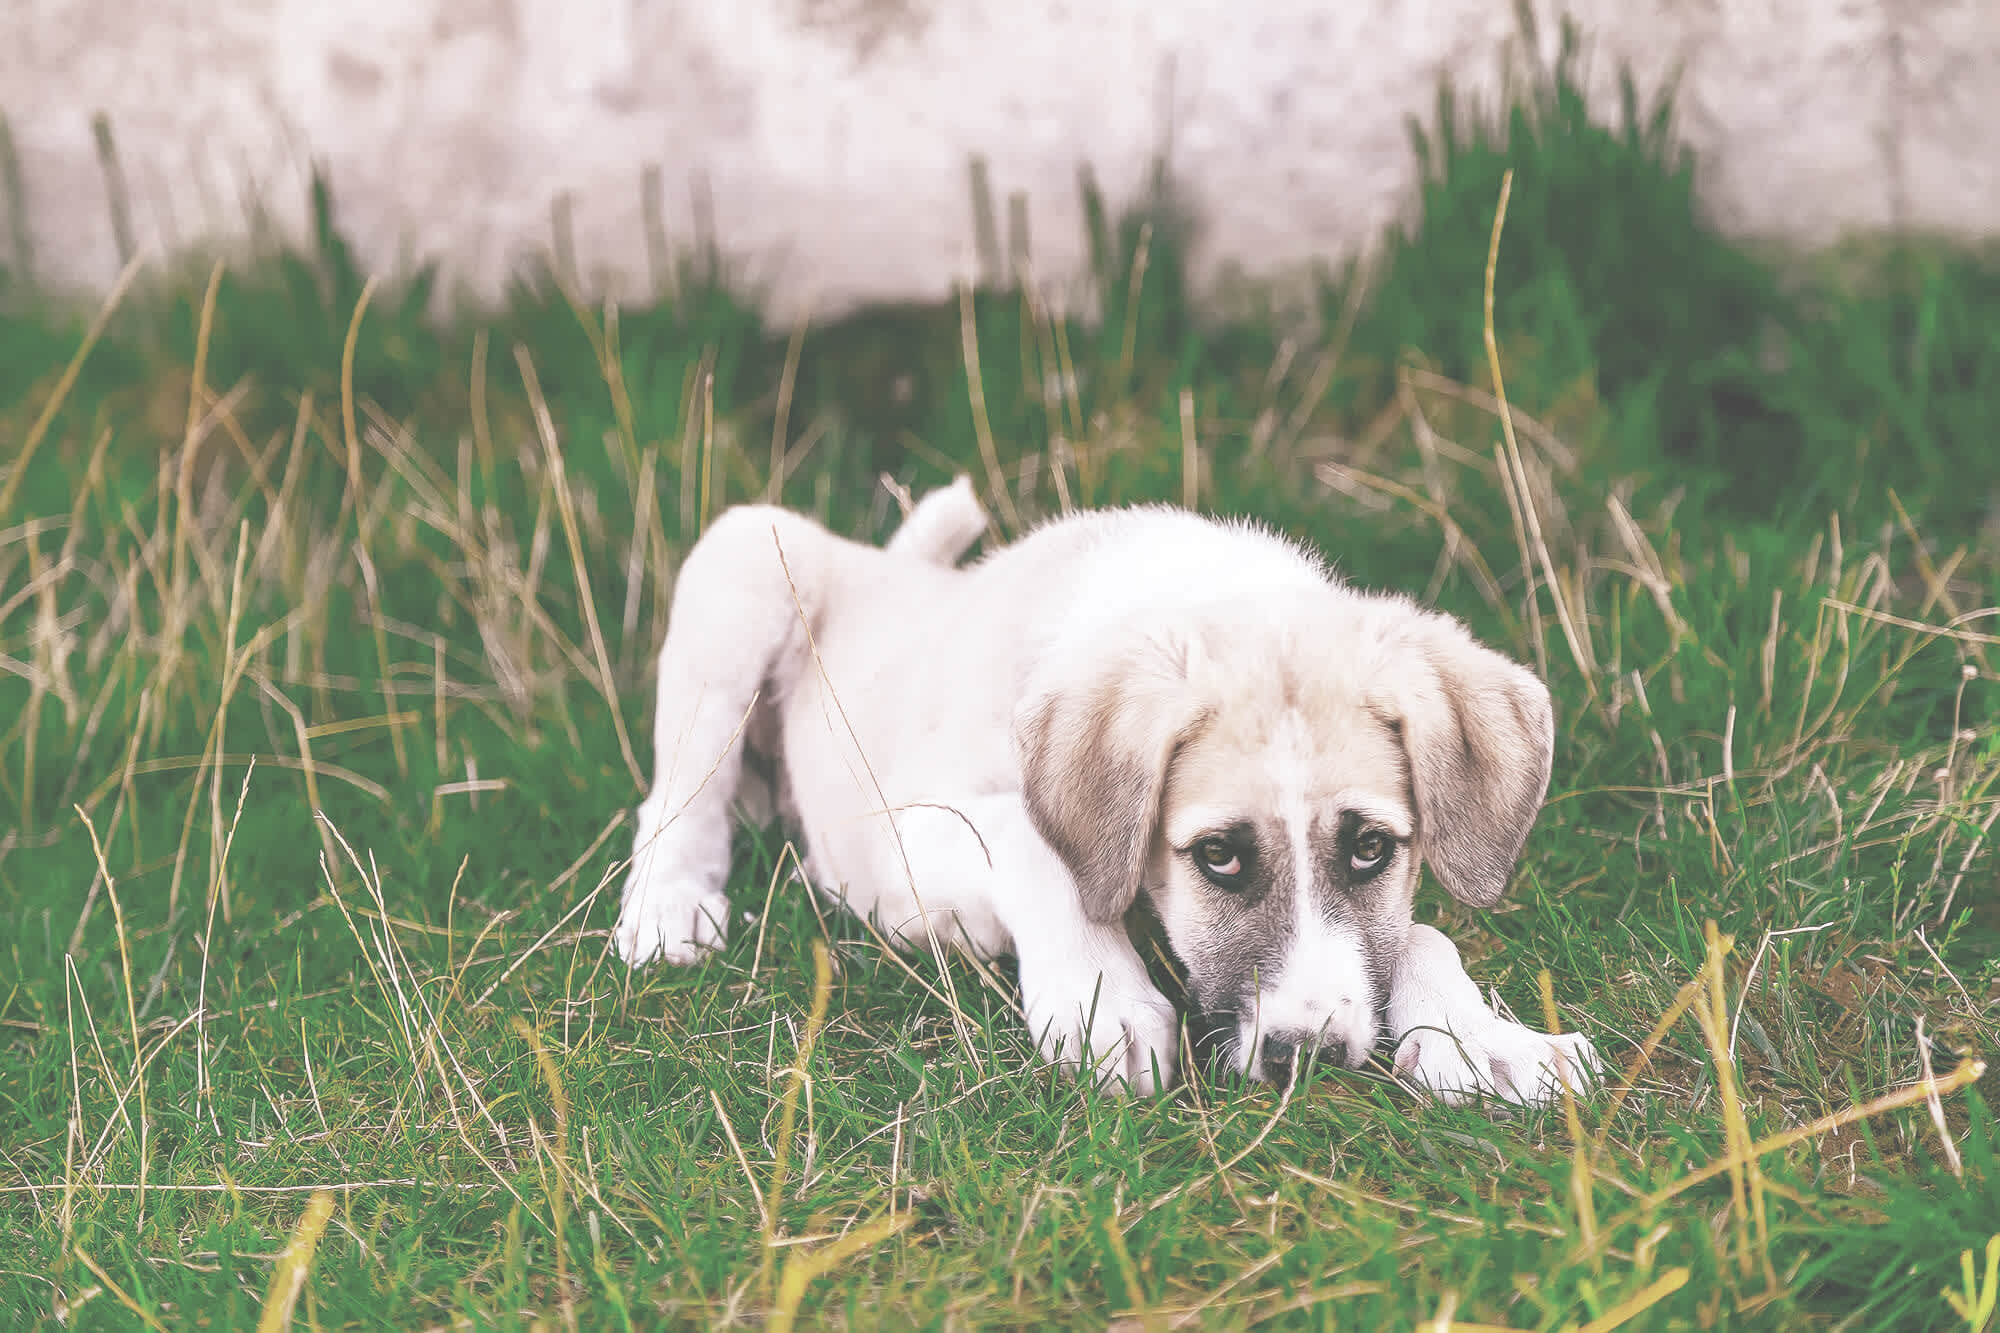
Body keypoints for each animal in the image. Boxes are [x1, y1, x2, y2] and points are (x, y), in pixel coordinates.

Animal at [608, 478, 1592, 1096]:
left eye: (1372, 847)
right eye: (1219, 856)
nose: (1306, 1056)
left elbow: (1419, 931)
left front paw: (1484, 1037)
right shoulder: (902, 839)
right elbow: (1033, 843)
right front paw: (1100, 998)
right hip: (744, 559)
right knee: (676, 792)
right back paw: (668, 905)